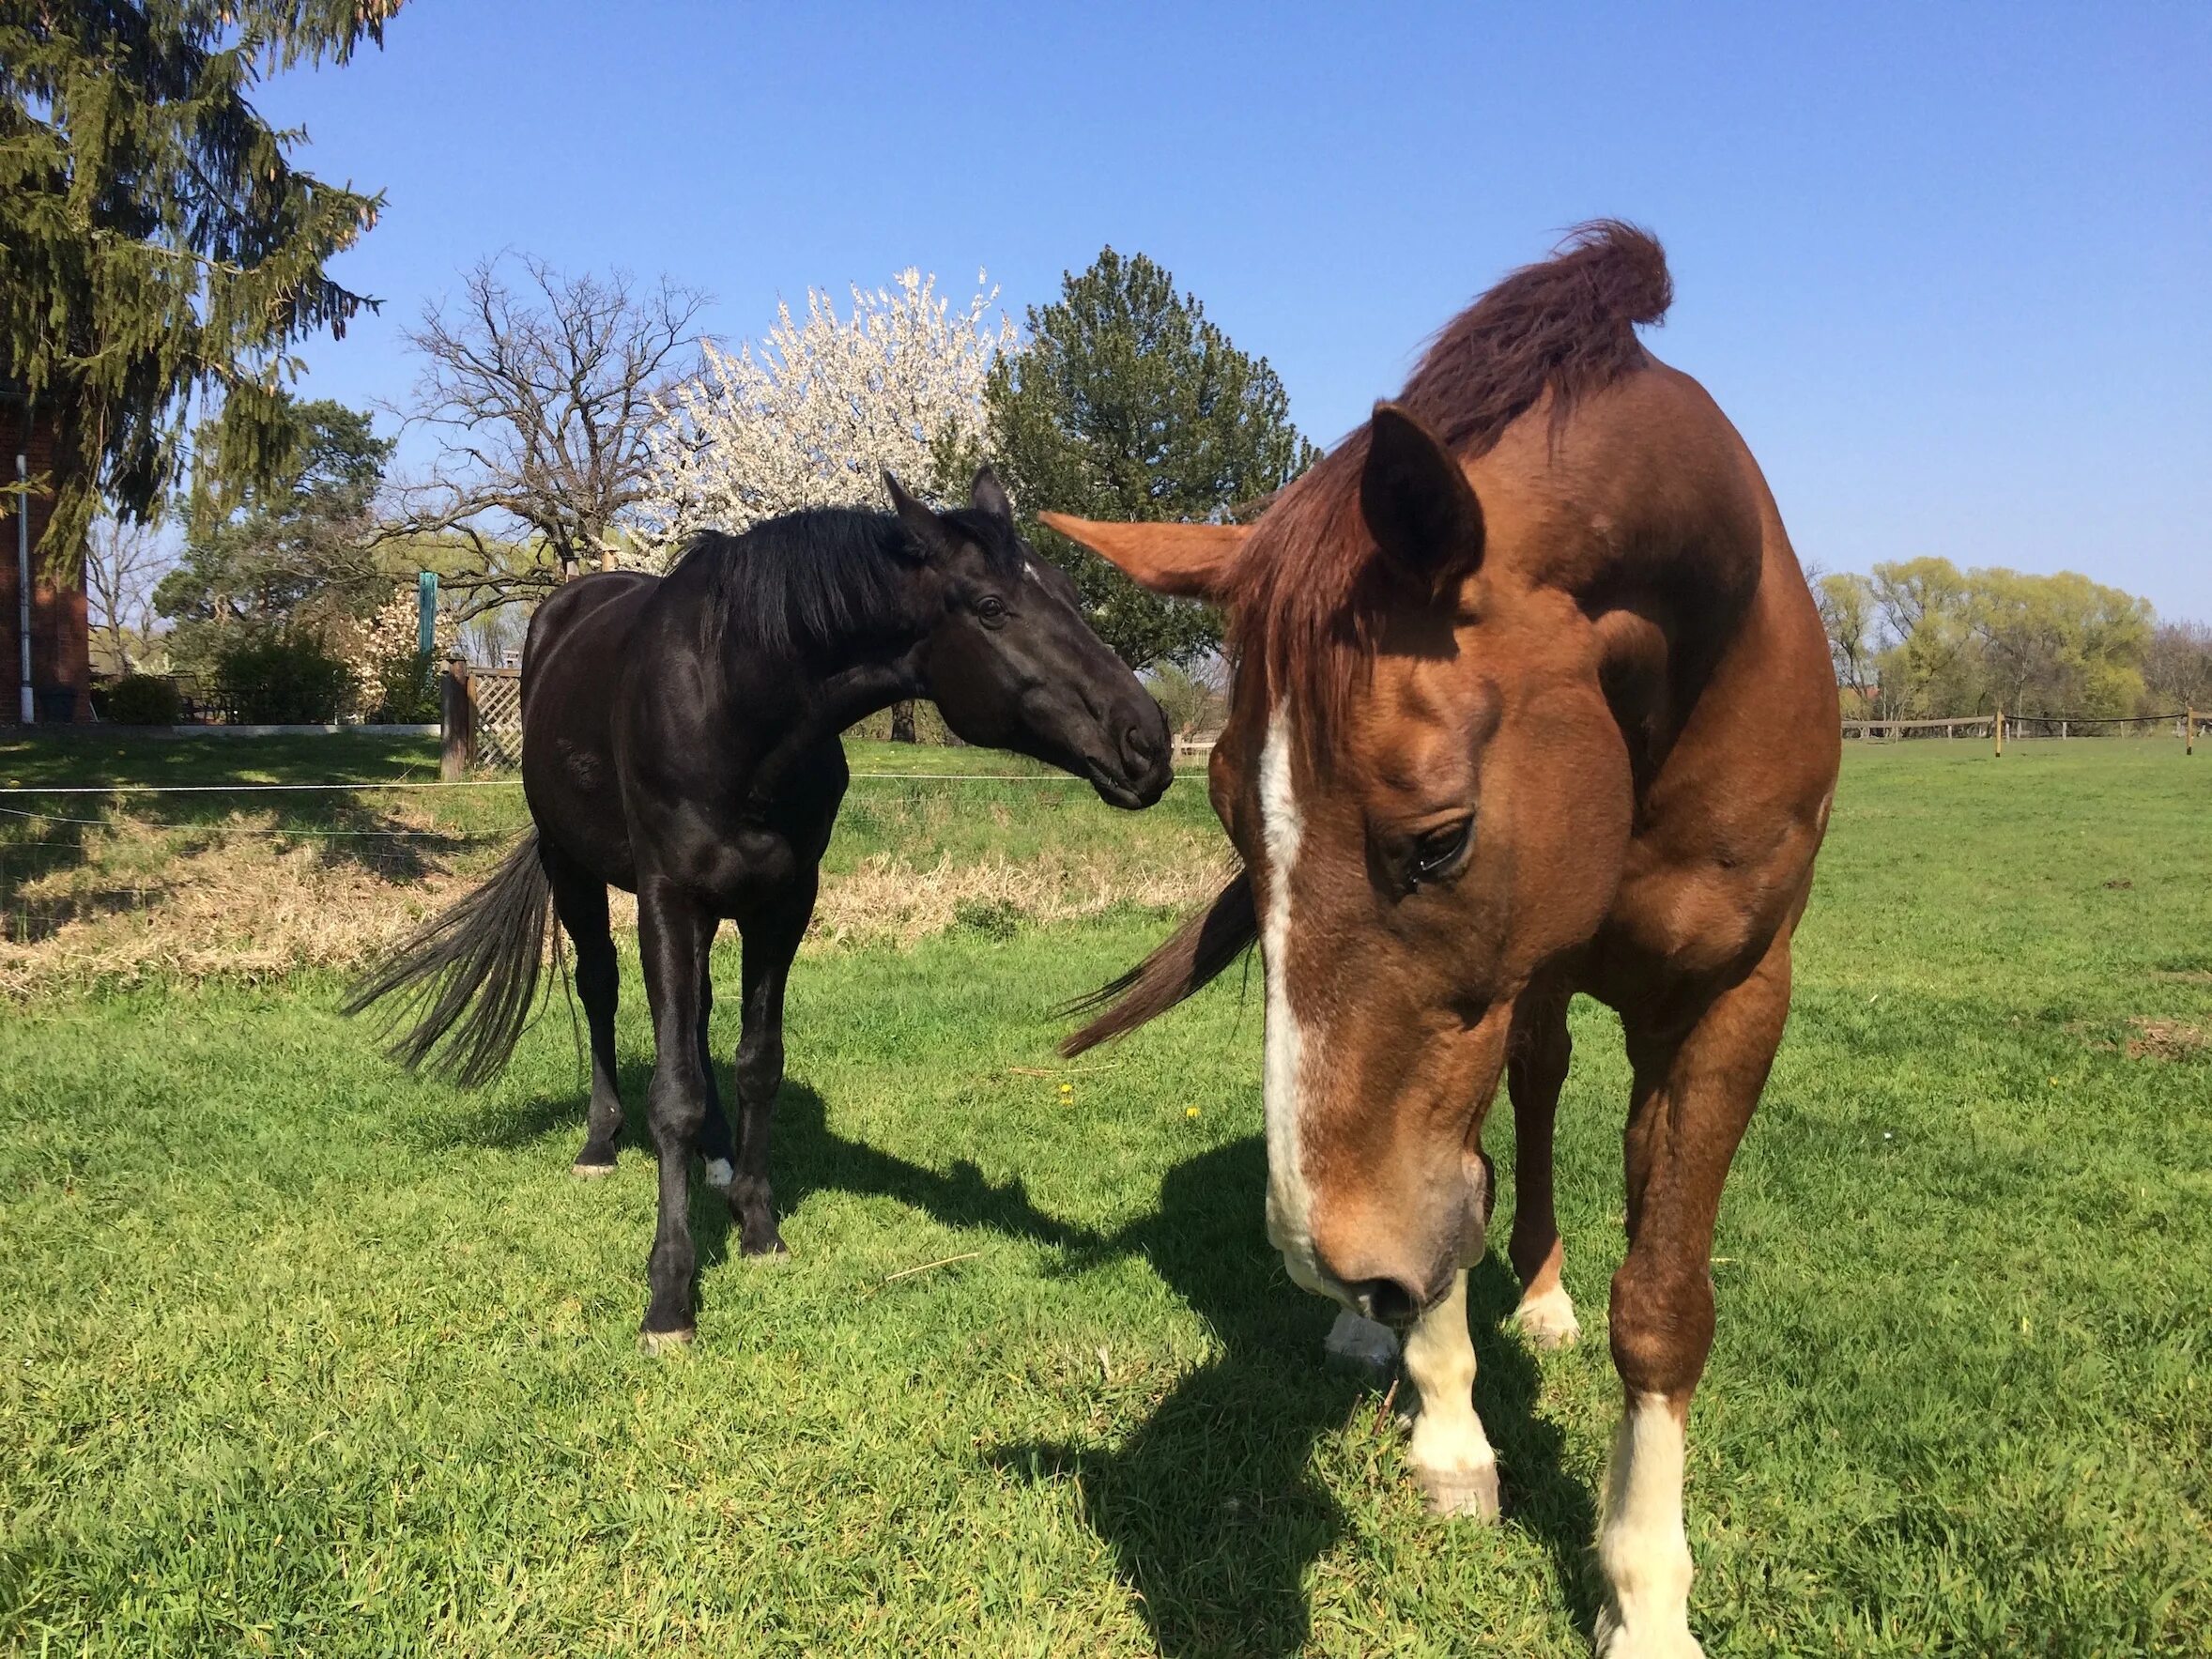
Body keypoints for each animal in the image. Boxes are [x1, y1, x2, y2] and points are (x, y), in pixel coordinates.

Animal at [349, 470, 1176, 1353]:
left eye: (1065, 592)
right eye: (990, 606)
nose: (1148, 742)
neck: (735, 702)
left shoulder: (784, 903)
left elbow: (757, 1062)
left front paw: (756, 1224)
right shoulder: (668, 898)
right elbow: (671, 1092)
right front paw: (670, 1294)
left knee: (698, 1016)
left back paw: (714, 1156)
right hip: (573, 869)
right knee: (601, 991)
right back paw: (601, 1142)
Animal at [1044, 224, 1840, 1659]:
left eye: (1437, 837)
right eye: (1234, 819)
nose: (1332, 1258)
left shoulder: (1733, 995)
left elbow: (1663, 1304)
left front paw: (1645, 1597)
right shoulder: (1492, 994)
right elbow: (1453, 1200)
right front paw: (1452, 1436)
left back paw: (1532, 1297)